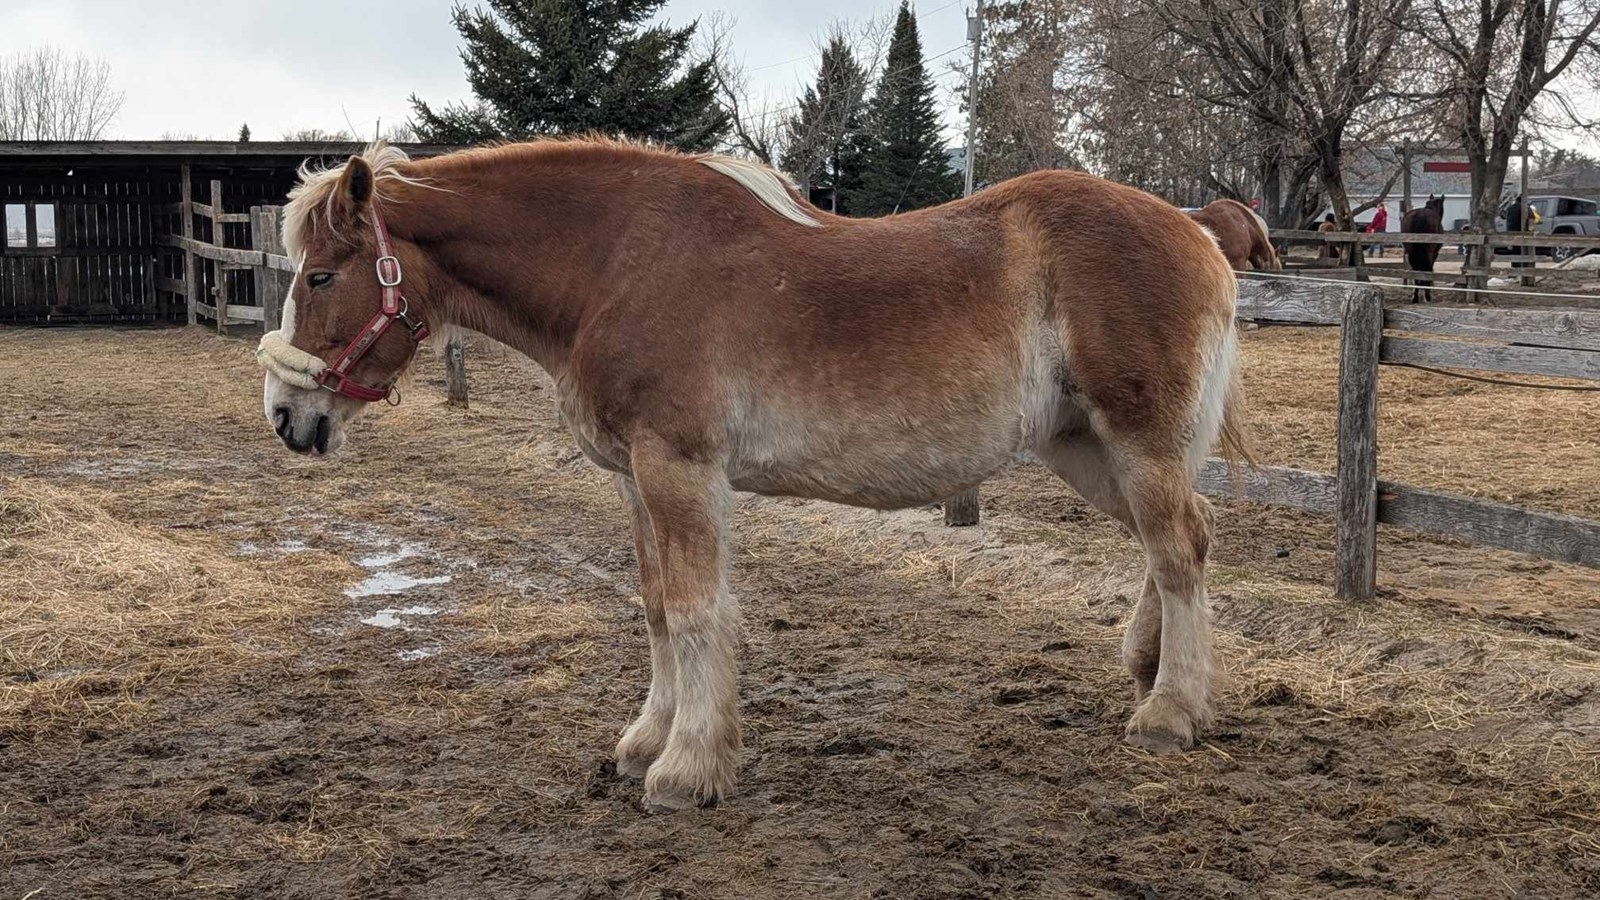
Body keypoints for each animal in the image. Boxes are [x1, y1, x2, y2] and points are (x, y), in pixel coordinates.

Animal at [257, 139, 1250, 811]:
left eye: (321, 275)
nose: (285, 415)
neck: (617, 261)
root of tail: (1194, 227)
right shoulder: (634, 478)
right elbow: (657, 605)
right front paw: (646, 739)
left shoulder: (680, 467)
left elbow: (698, 609)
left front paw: (688, 766)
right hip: (1082, 446)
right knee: (1180, 539)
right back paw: (1148, 666)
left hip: (1133, 438)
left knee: (1180, 548)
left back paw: (1170, 712)